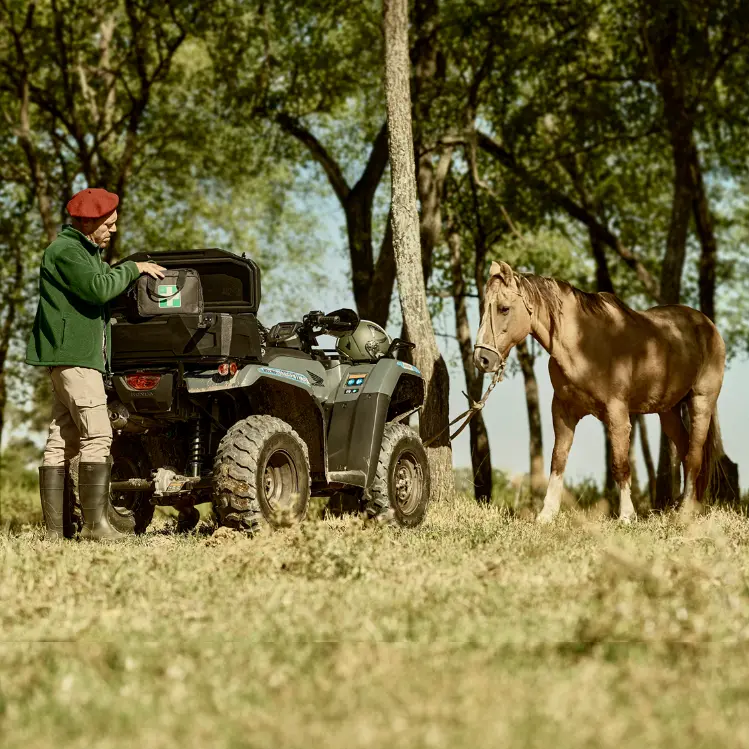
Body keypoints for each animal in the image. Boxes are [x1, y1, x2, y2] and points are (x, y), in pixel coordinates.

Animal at [473, 260, 726, 523]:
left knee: (694, 456)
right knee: (686, 451)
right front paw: (547, 514)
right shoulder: (563, 411)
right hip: (669, 411)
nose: (482, 359)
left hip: (701, 401)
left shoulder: (618, 414)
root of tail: (707, 325)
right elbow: (558, 460)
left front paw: (626, 516)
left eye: (503, 309)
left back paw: (685, 512)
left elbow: (620, 464)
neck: (583, 344)